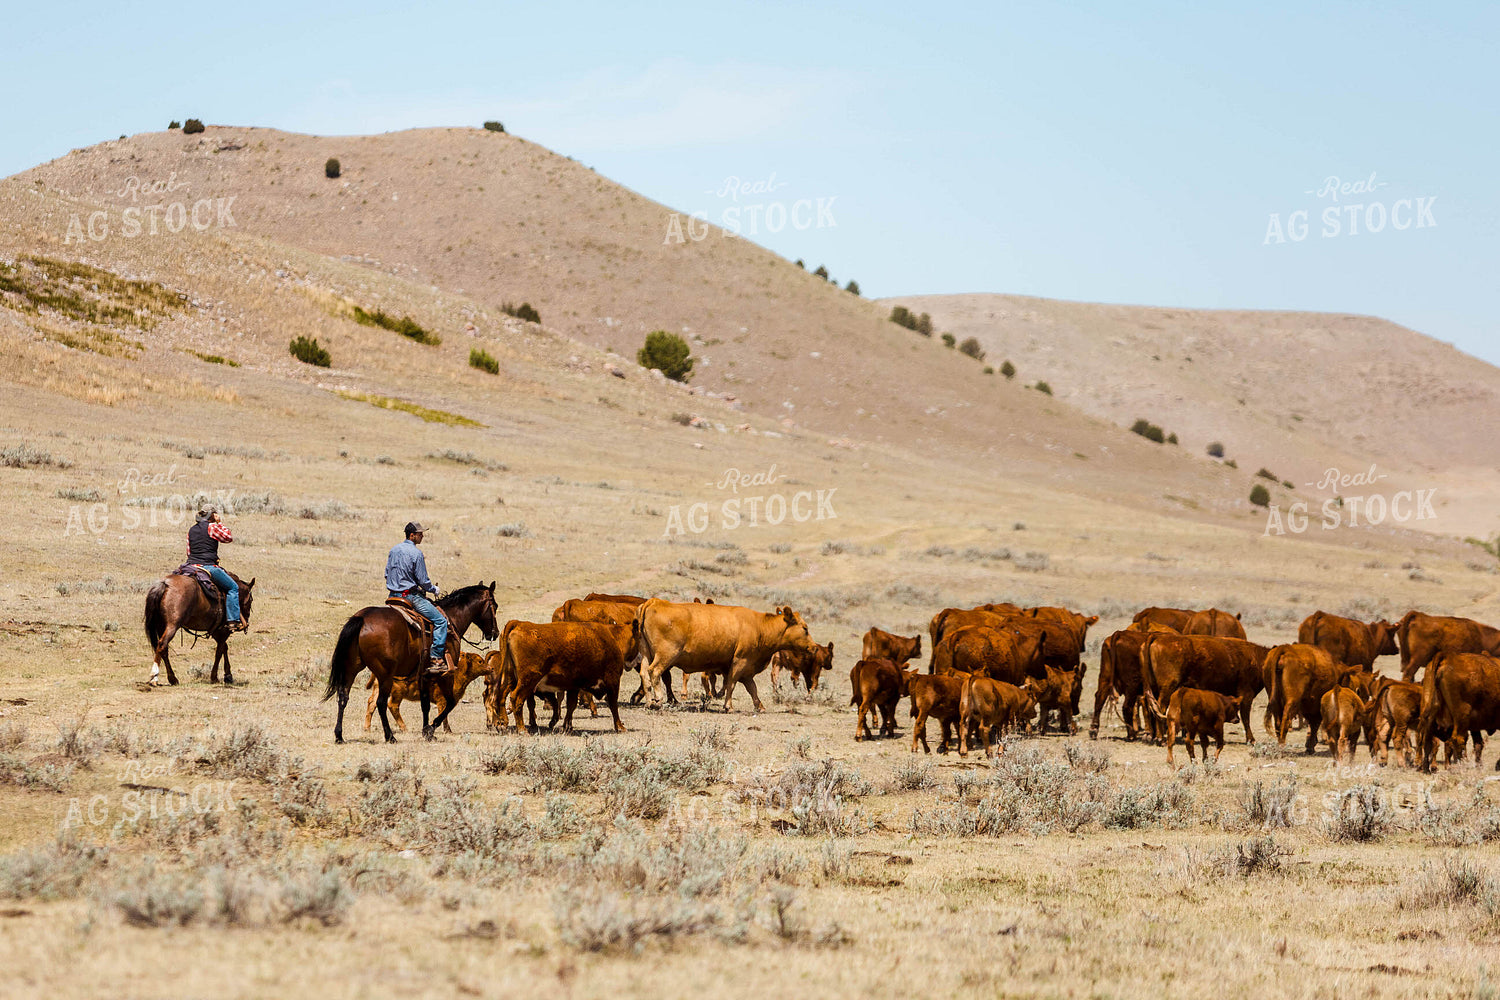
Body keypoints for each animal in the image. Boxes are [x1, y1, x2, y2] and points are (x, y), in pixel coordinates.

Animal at [491, 619, 638, 734]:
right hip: (528, 680)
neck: (611, 638)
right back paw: (522, 729)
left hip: (510, 678)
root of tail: (519, 624)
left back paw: (501, 723)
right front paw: (620, 727)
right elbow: (613, 705)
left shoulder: (574, 686)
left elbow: (571, 705)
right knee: (516, 698)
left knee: (501, 696)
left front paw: (567, 726)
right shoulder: (613, 681)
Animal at [635, 600, 820, 712]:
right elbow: (731, 683)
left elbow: (752, 688)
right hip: (666, 654)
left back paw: (649, 702)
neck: (760, 627)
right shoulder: (740, 661)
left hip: (646, 654)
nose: (814, 648)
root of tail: (655, 601)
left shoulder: (746, 668)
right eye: (805, 628)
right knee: (654, 672)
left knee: (644, 674)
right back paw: (658, 699)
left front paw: (759, 706)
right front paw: (728, 706)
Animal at [1140, 633, 1269, 743]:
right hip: (1167, 688)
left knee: (1150, 706)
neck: (1256, 657)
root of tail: (1158, 637)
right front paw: (1251, 740)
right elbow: (1246, 718)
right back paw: (1160, 738)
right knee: (1160, 708)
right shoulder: (1246, 694)